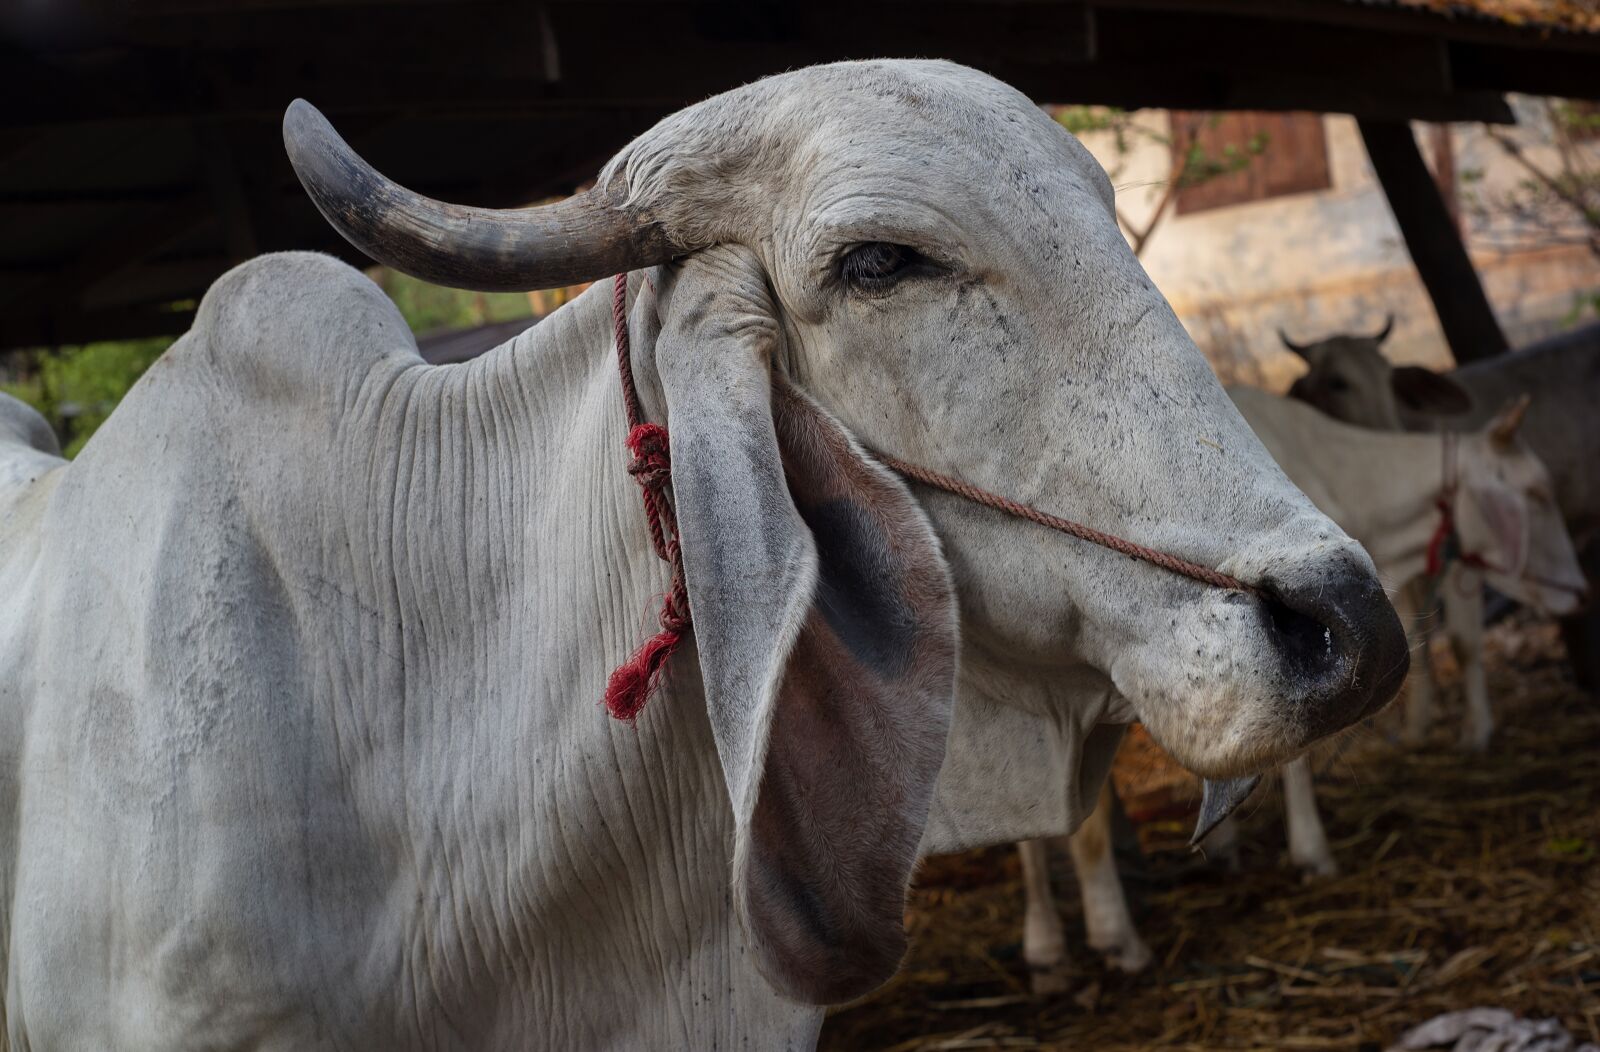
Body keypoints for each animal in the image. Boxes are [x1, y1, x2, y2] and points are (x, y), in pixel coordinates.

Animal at [1020, 387, 1586, 991]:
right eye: (1537, 493)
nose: (1579, 593)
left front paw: (1224, 847)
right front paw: (1311, 851)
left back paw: (1047, 945)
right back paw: (1103, 935)